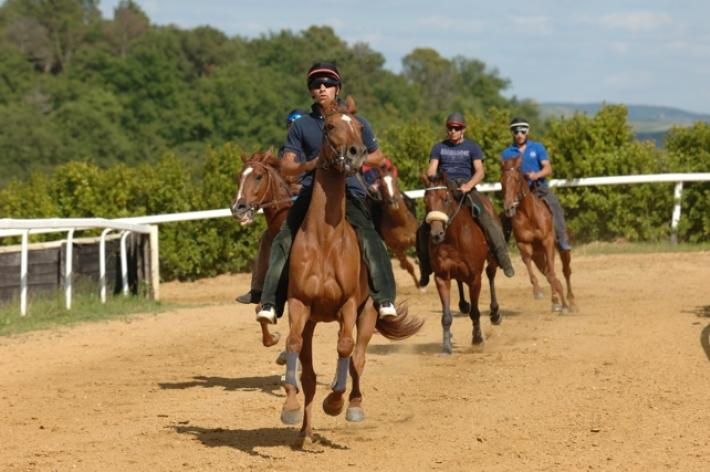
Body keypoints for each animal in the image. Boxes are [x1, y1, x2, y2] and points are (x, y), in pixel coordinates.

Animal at [278, 97, 422, 438]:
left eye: (358, 126)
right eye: (330, 126)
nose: (356, 153)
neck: (325, 240)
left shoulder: (348, 304)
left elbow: (345, 347)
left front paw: (336, 401)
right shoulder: (299, 304)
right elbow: (293, 346)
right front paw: (290, 407)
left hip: (367, 312)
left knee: (358, 356)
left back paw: (353, 404)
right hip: (313, 321)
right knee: (309, 372)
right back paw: (305, 432)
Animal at [426, 174, 504, 354]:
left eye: (446, 199)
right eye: (426, 200)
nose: (436, 234)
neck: (454, 240)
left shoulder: (475, 279)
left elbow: (475, 312)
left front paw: (477, 339)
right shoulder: (441, 277)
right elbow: (446, 316)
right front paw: (446, 345)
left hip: (491, 259)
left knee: (491, 274)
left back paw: (495, 313)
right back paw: (463, 305)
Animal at [500, 155, 580, 316]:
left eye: (516, 179)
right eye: (501, 182)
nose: (508, 208)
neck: (529, 214)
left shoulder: (548, 242)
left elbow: (554, 273)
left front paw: (565, 305)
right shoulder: (523, 244)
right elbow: (532, 266)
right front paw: (538, 291)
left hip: (562, 249)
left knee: (566, 271)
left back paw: (571, 302)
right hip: (538, 256)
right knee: (548, 273)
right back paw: (556, 302)